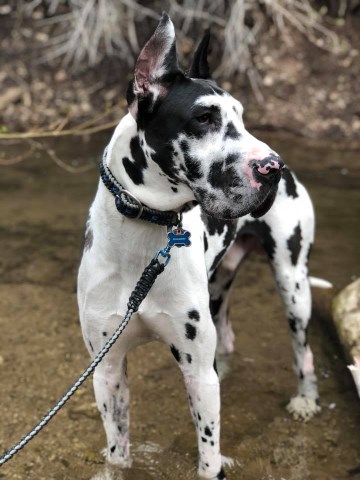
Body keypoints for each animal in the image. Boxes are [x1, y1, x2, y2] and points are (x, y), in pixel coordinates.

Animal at [77, 14, 320, 480]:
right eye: (204, 117)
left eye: (241, 117)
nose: (272, 167)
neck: (142, 243)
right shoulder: (107, 371)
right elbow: (117, 451)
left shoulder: (197, 375)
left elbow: (208, 459)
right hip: (220, 285)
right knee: (225, 329)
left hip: (293, 284)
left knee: (304, 349)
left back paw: (306, 400)